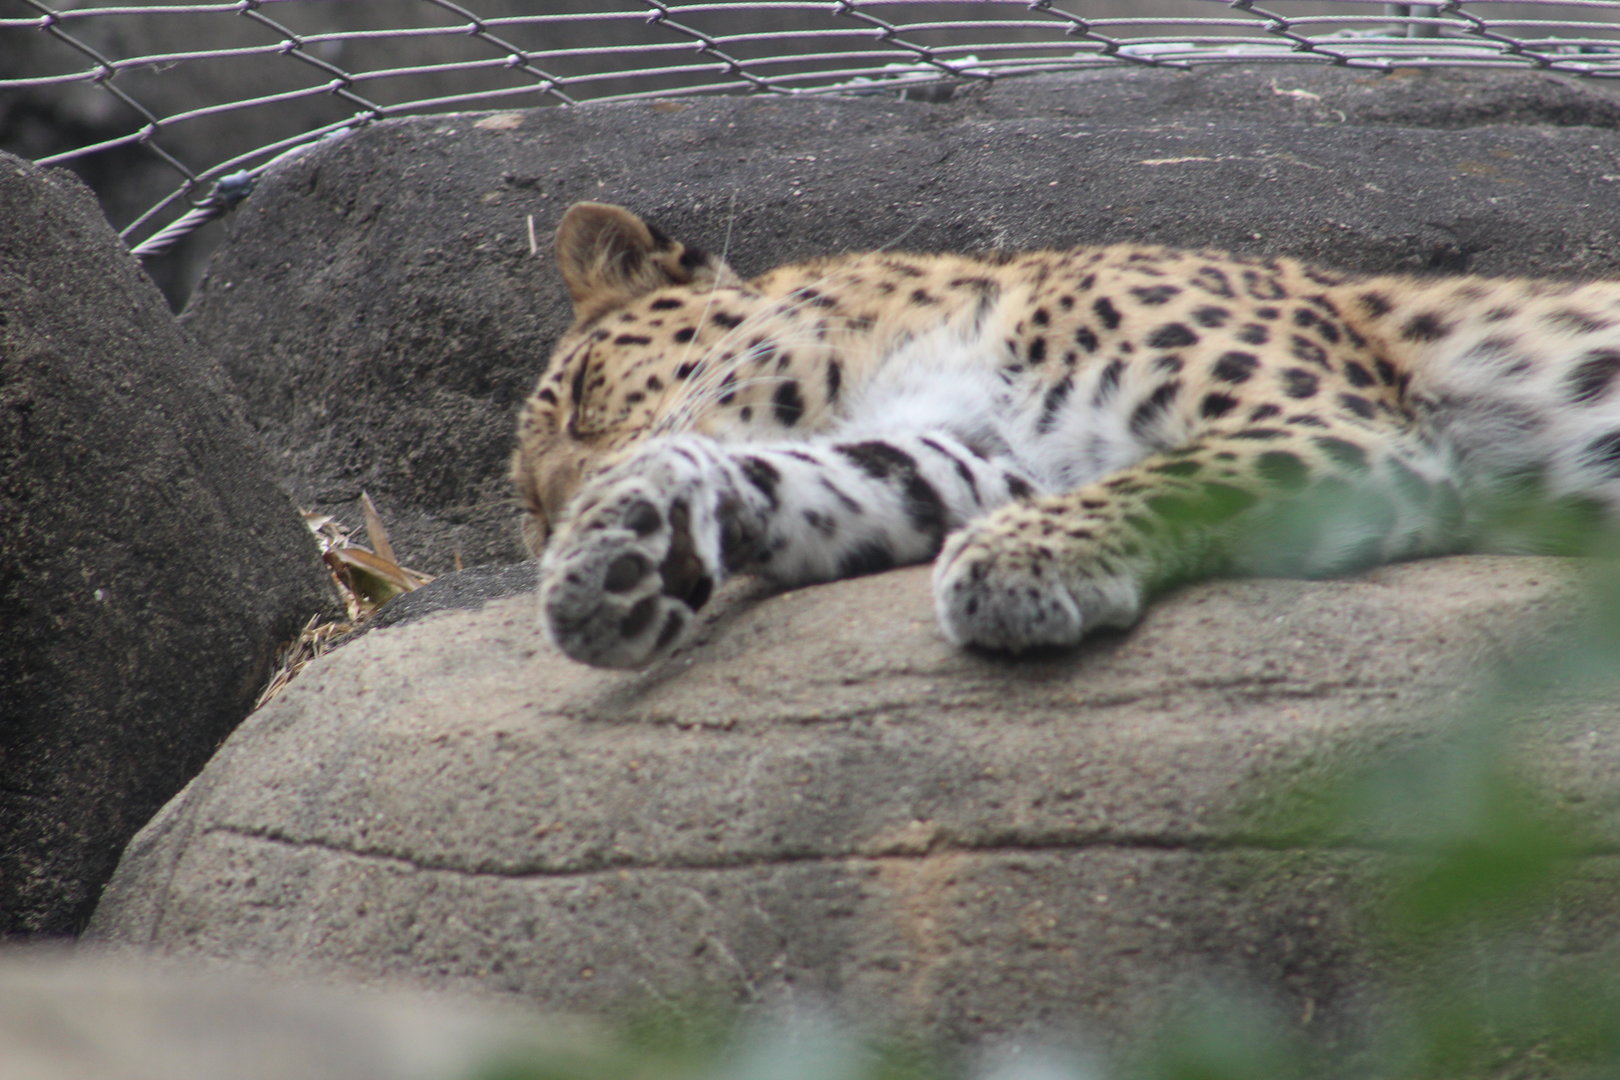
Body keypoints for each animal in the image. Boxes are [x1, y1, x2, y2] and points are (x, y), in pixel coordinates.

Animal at [511, 201, 1620, 669]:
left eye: (584, 396)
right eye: (525, 517)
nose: (556, 518)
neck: (913, 351)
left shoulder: (1339, 423)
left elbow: (1179, 472)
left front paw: (1021, 564)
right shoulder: (978, 461)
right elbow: (823, 478)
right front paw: (623, 550)